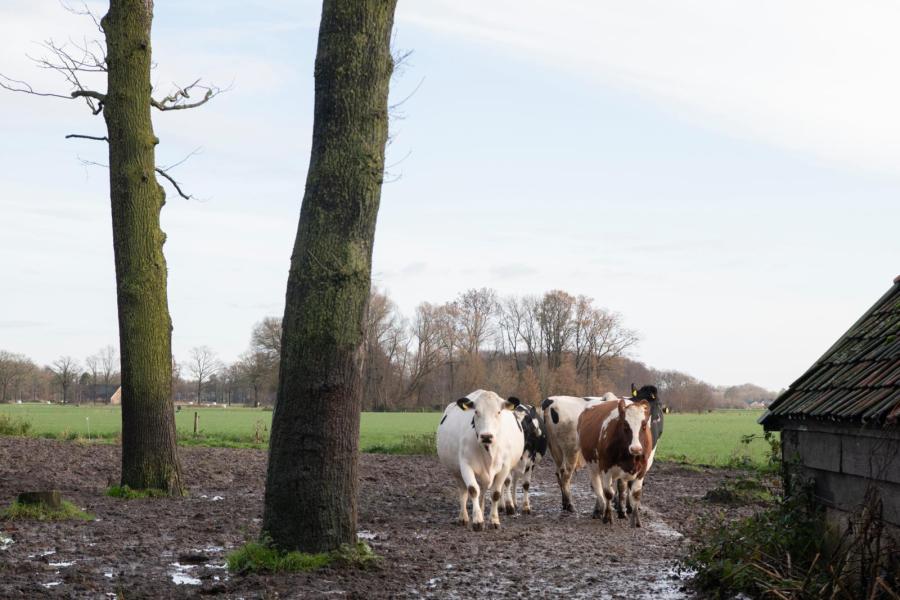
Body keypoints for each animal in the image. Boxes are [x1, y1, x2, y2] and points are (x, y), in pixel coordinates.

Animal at [438, 390, 524, 528]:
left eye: (498, 412)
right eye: (476, 412)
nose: (486, 436)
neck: (488, 450)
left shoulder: (504, 468)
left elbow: (495, 494)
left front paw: (493, 520)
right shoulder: (465, 465)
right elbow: (473, 490)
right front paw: (478, 521)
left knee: (483, 492)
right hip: (457, 472)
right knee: (464, 492)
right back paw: (464, 517)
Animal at [580, 398, 652, 528]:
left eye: (644, 425)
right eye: (625, 425)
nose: (636, 449)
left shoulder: (642, 470)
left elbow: (636, 494)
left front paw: (636, 520)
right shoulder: (605, 467)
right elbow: (608, 493)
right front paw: (607, 517)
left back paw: (621, 512)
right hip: (592, 466)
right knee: (598, 487)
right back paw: (599, 510)